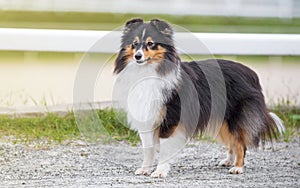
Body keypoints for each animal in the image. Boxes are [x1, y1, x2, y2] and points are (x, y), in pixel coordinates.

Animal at [112, 18, 284, 178]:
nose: (137, 56)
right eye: (134, 44)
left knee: (240, 143)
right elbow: (148, 150)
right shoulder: (146, 119)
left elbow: (165, 149)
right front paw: (145, 169)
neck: (147, 72)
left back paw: (237, 167)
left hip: (234, 118)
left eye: (151, 44)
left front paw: (160, 171)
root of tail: (251, 72)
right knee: (232, 142)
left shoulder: (170, 120)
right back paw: (228, 161)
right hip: (222, 121)